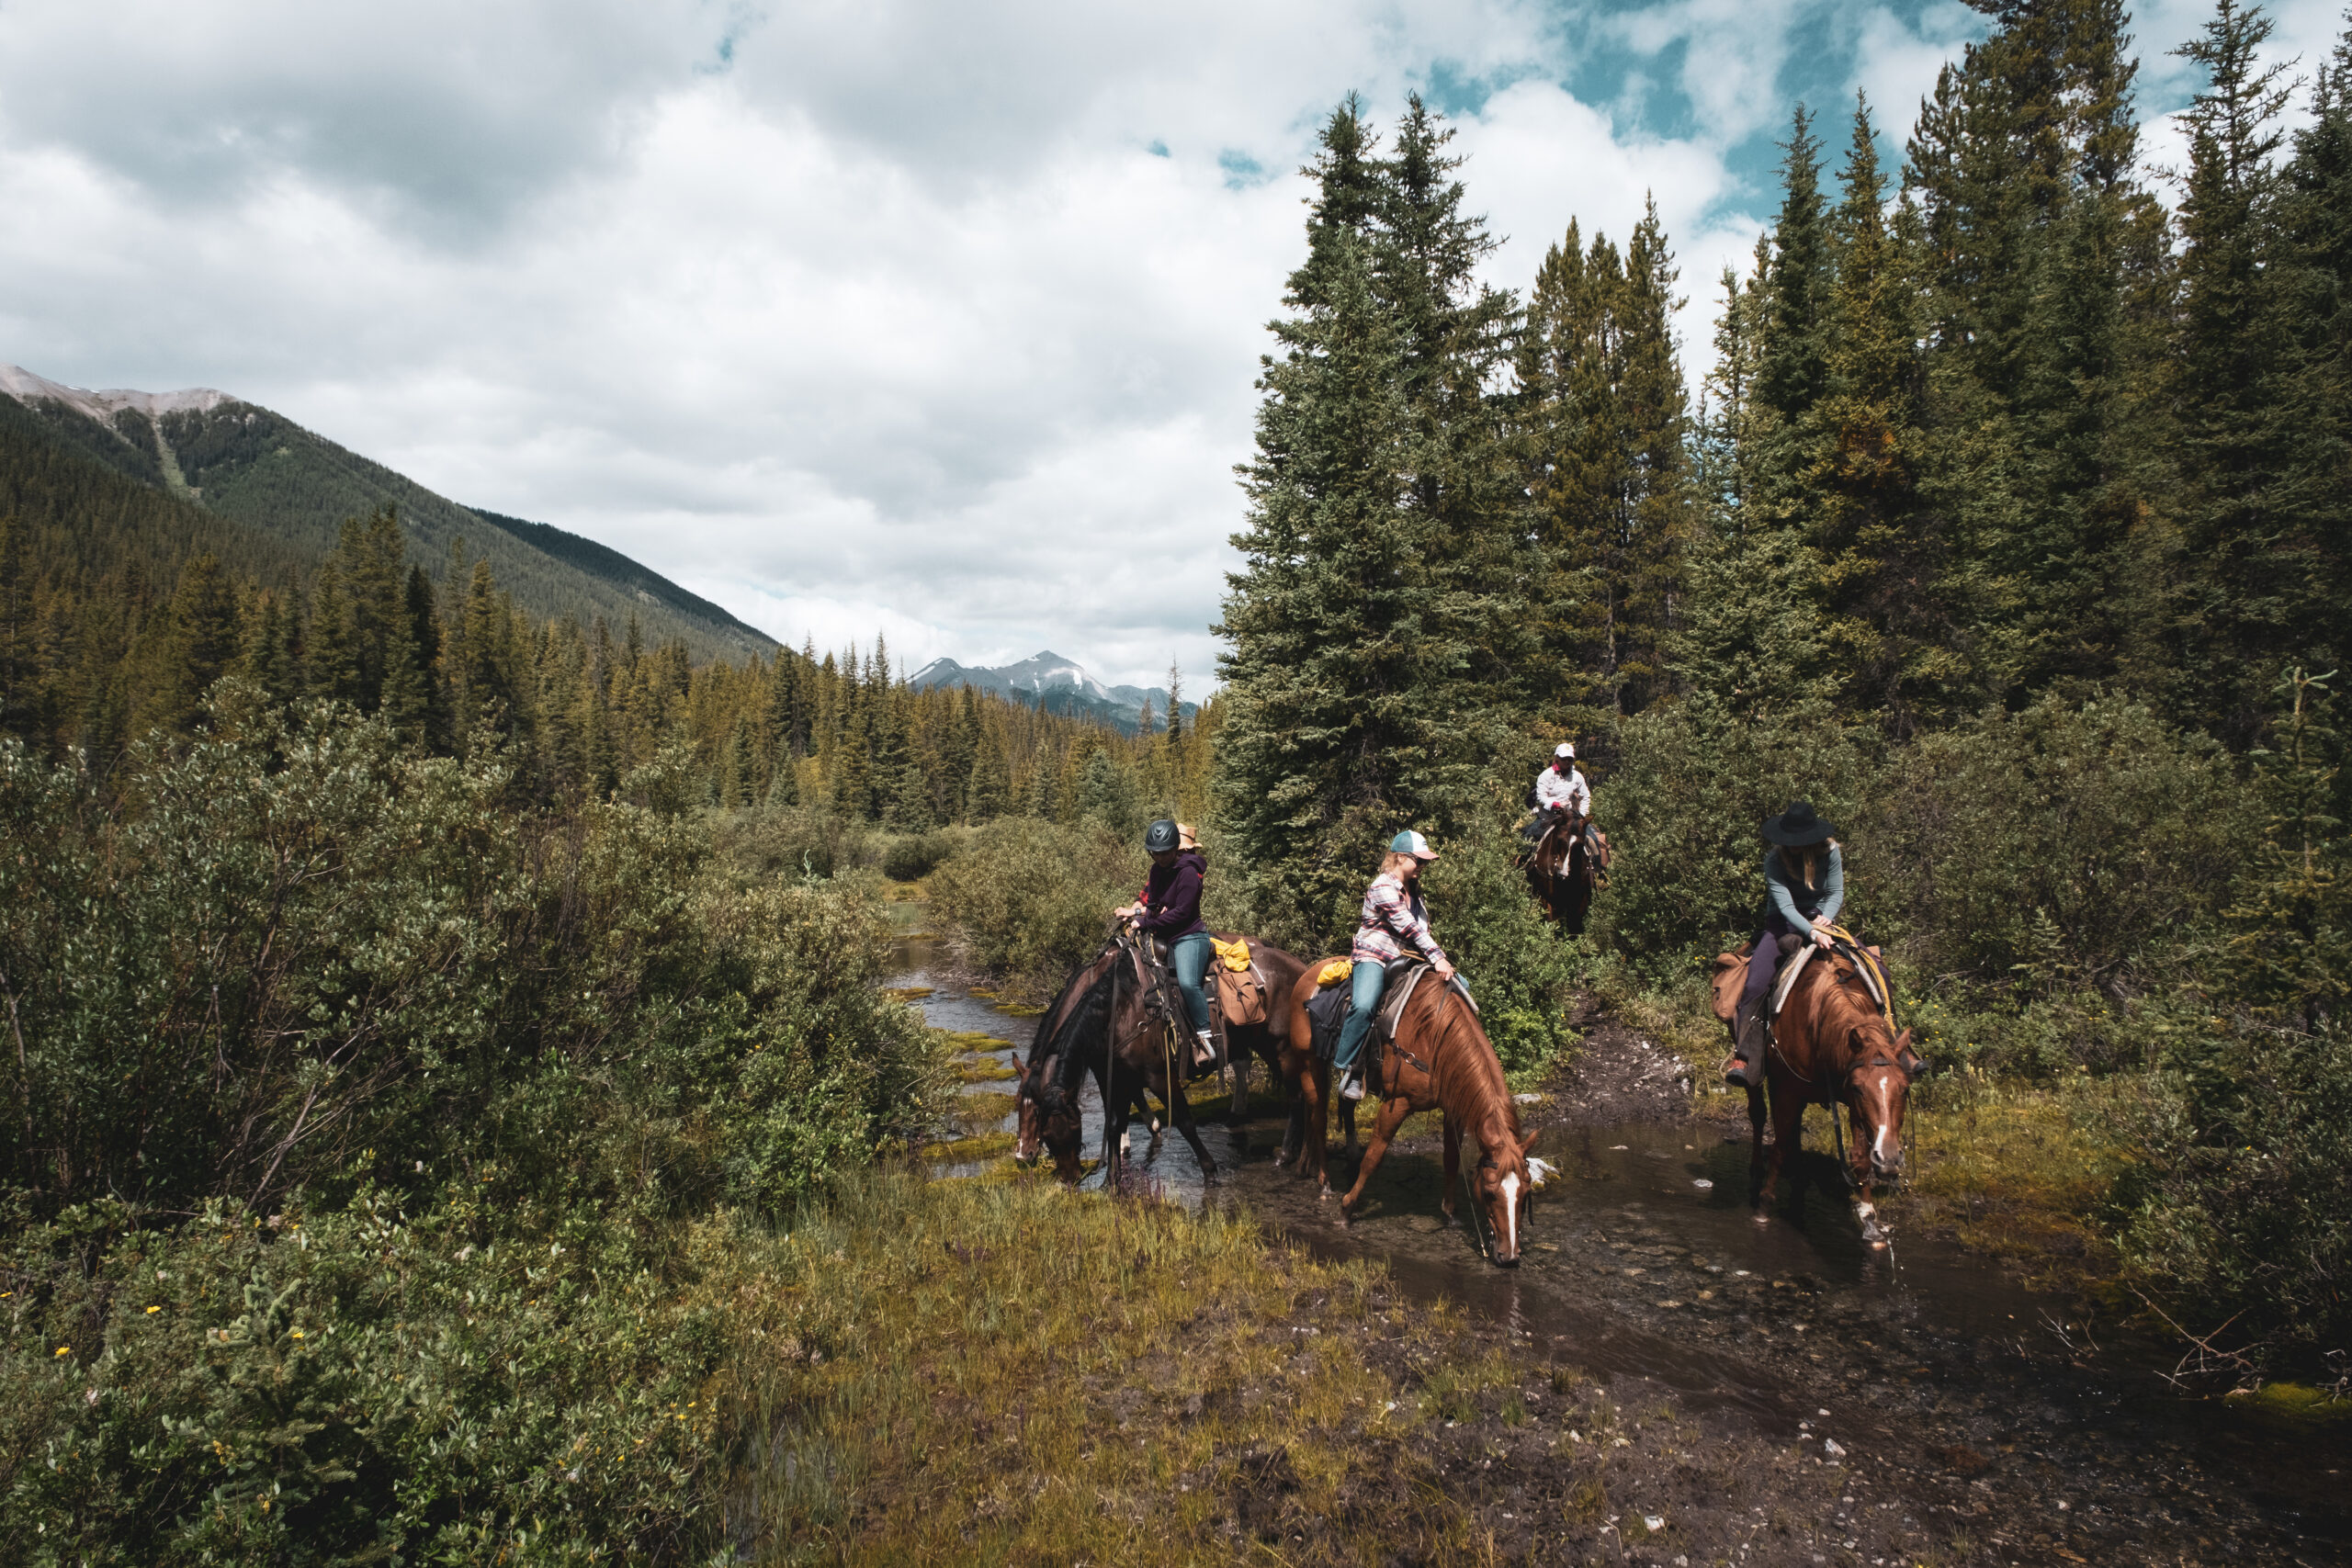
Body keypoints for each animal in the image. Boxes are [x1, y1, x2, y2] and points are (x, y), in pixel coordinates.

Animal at [1270, 959, 1543, 1259]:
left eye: (1526, 1192)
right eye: (1491, 1192)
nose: (1510, 1256)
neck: (1434, 1039)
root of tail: (1308, 973)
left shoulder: (1452, 1109)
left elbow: (1451, 1158)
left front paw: (1451, 1214)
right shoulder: (1397, 1103)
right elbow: (1374, 1157)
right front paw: (1347, 1209)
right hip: (1310, 1064)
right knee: (1317, 1118)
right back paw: (1324, 1181)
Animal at [1721, 931, 1918, 1250]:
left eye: (1903, 1089)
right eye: (1860, 1089)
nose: (1889, 1160)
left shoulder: (1848, 1101)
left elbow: (1859, 1157)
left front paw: (1870, 1221)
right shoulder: (1790, 1090)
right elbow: (1778, 1146)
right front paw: (1764, 1207)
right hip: (1757, 1073)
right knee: (1759, 1115)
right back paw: (1756, 1173)